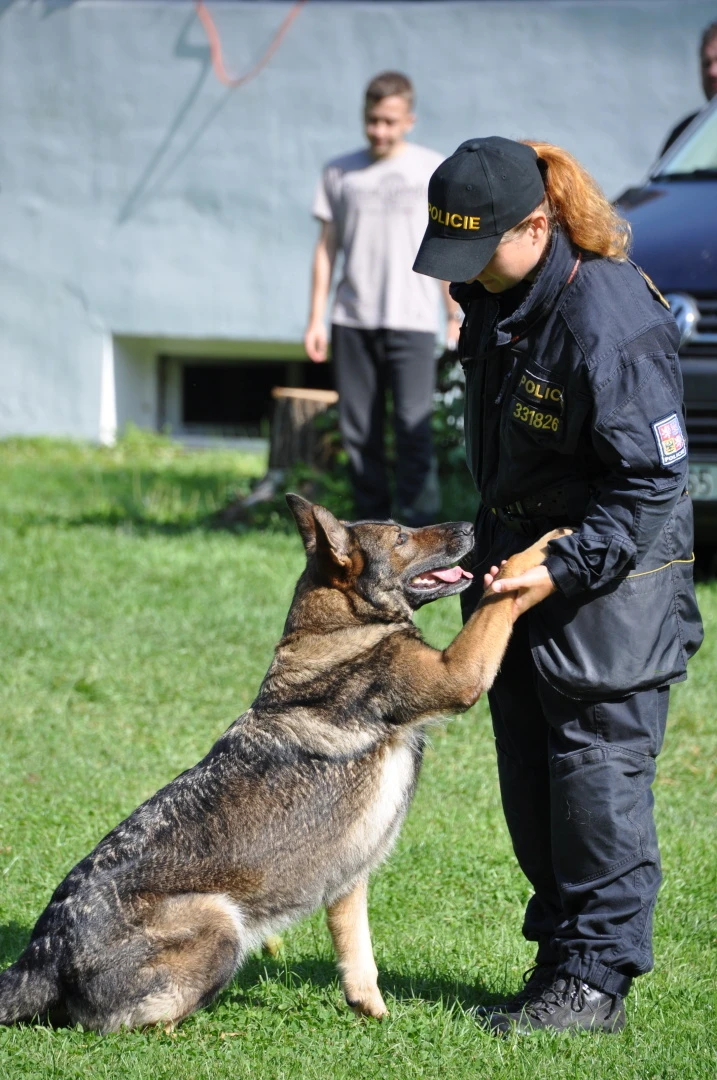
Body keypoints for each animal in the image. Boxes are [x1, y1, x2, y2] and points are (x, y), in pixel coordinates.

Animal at [0, 495, 565, 1032]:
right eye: (402, 536)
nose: (470, 527)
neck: (341, 626)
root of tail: (40, 956)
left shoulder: (348, 878)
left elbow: (359, 958)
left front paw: (373, 1013)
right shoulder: (460, 671)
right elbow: (499, 597)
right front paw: (542, 549)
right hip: (221, 921)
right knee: (126, 1024)